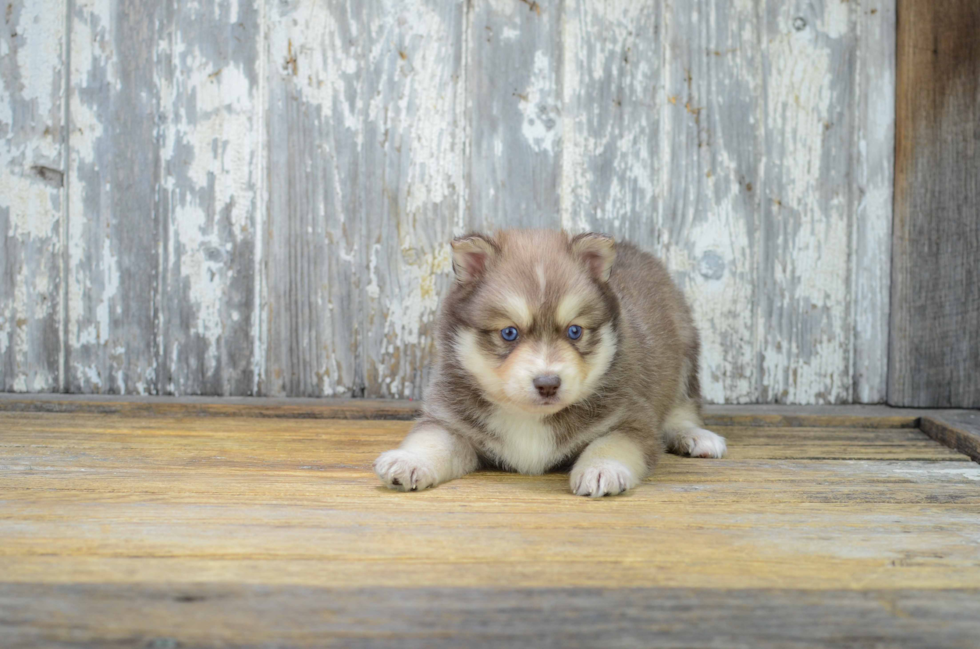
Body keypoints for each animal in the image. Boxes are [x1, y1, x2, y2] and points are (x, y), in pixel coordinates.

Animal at [376, 228, 728, 496]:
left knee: (683, 408)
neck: (529, 418)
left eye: (574, 331)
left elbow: (611, 444)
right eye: (509, 333)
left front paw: (601, 469)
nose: (548, 384)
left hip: (685, 355)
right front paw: (409, 461)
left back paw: (695, 436)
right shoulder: (450, 420)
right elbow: (432, 442)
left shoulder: (631, 418)